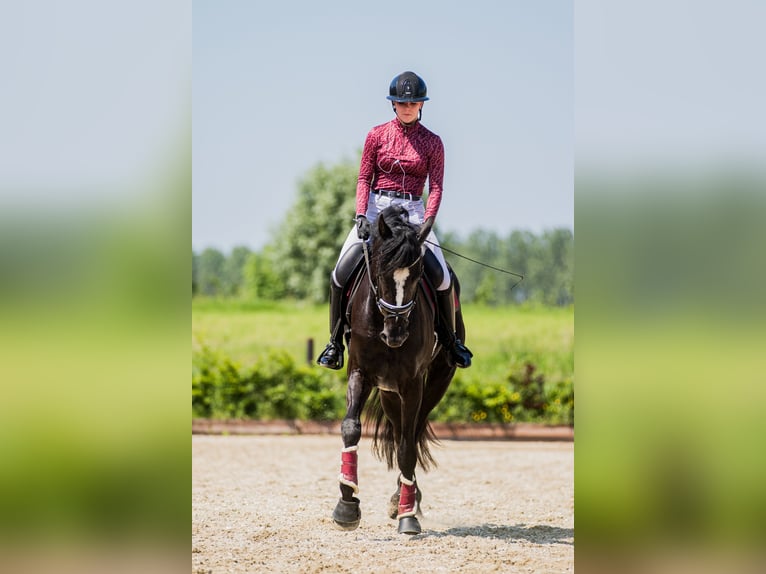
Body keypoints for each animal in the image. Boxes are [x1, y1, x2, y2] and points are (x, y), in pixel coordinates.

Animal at [328, 206, 462, 536]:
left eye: (417, 277)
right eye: (379, 273)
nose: (396, 334)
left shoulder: (413, 384)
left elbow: (406, 448)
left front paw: (408, 516)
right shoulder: (360, 372)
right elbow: (351, 428)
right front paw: (347, 505)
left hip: (436, 381)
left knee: (410, 435)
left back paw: (405, 498)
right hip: (389, 392)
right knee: (399, 428)